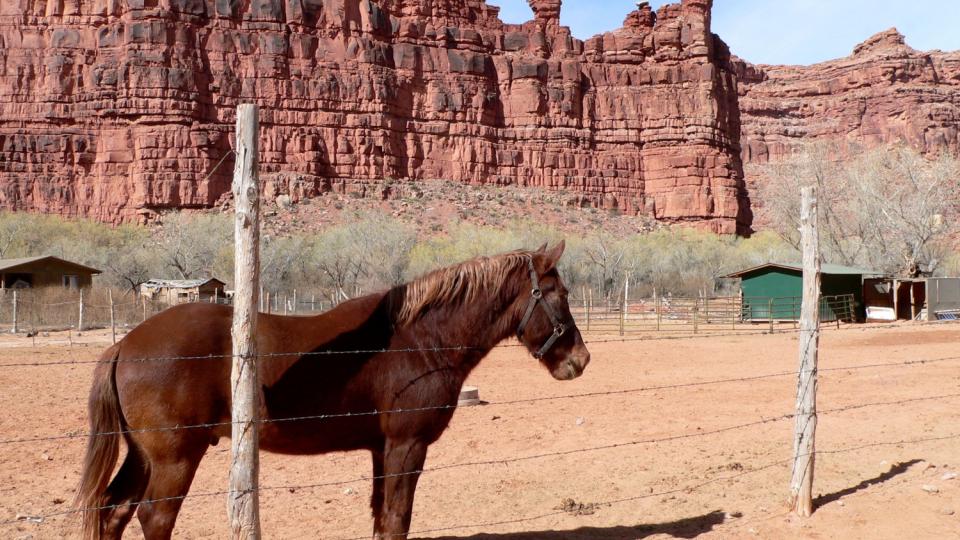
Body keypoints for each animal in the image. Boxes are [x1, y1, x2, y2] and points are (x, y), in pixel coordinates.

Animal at [77, 243, 584, 536]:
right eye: (559, 294)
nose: (580, 360)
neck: (421, 340)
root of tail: (125, 344)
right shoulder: (407, 445)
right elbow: (397, 519)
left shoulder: (382, 448)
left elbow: (382, 518)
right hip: (175, 458)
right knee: (153, 517)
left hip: (144, 455)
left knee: (113, 512)